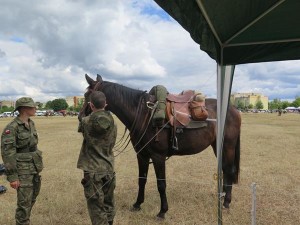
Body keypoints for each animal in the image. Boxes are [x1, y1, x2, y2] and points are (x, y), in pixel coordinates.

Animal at [79, 74, 241, 218]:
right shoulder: (142, 155)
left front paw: (162, 211)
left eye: (87, 94)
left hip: (228, 146)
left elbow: (161, 184)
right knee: (224, 170)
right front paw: (137, 204)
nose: (80, 116)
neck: (144, 115)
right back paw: (222, 197)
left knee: (229, 170)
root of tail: (234, 109)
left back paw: (226, 202)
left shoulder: (158, 157)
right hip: (218, 147)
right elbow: (141, 179)